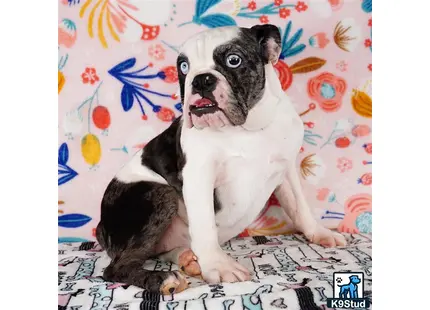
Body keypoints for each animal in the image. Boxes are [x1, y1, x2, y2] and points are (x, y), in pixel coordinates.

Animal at [96, 24, 346, 296]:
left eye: (233, 60)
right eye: (184, 67)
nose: (201, 79)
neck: (246, 128)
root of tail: (101, 228)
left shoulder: (287, 169)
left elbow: (300, 206)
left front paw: (319, 232)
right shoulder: (198, 176)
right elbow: (205, 224)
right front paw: (218, 265)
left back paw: (187, 258)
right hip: (159, 193)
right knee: (117, 267)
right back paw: (163, 279)